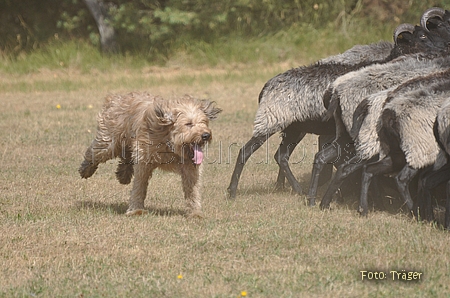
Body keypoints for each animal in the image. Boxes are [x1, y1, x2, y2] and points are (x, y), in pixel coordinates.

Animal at [79, 92, 223, 217]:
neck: (168, 140)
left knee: (126, 156)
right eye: (188, 124)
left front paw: (195, 213)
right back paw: (86, 170)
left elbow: (193, 188)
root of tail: (116, 98)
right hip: (110, 141)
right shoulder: (144, 157)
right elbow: (139, 184)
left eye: (204, 122)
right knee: (96, 152)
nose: (206, 135)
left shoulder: (190, 165)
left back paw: (123, 175)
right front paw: (136, 210)